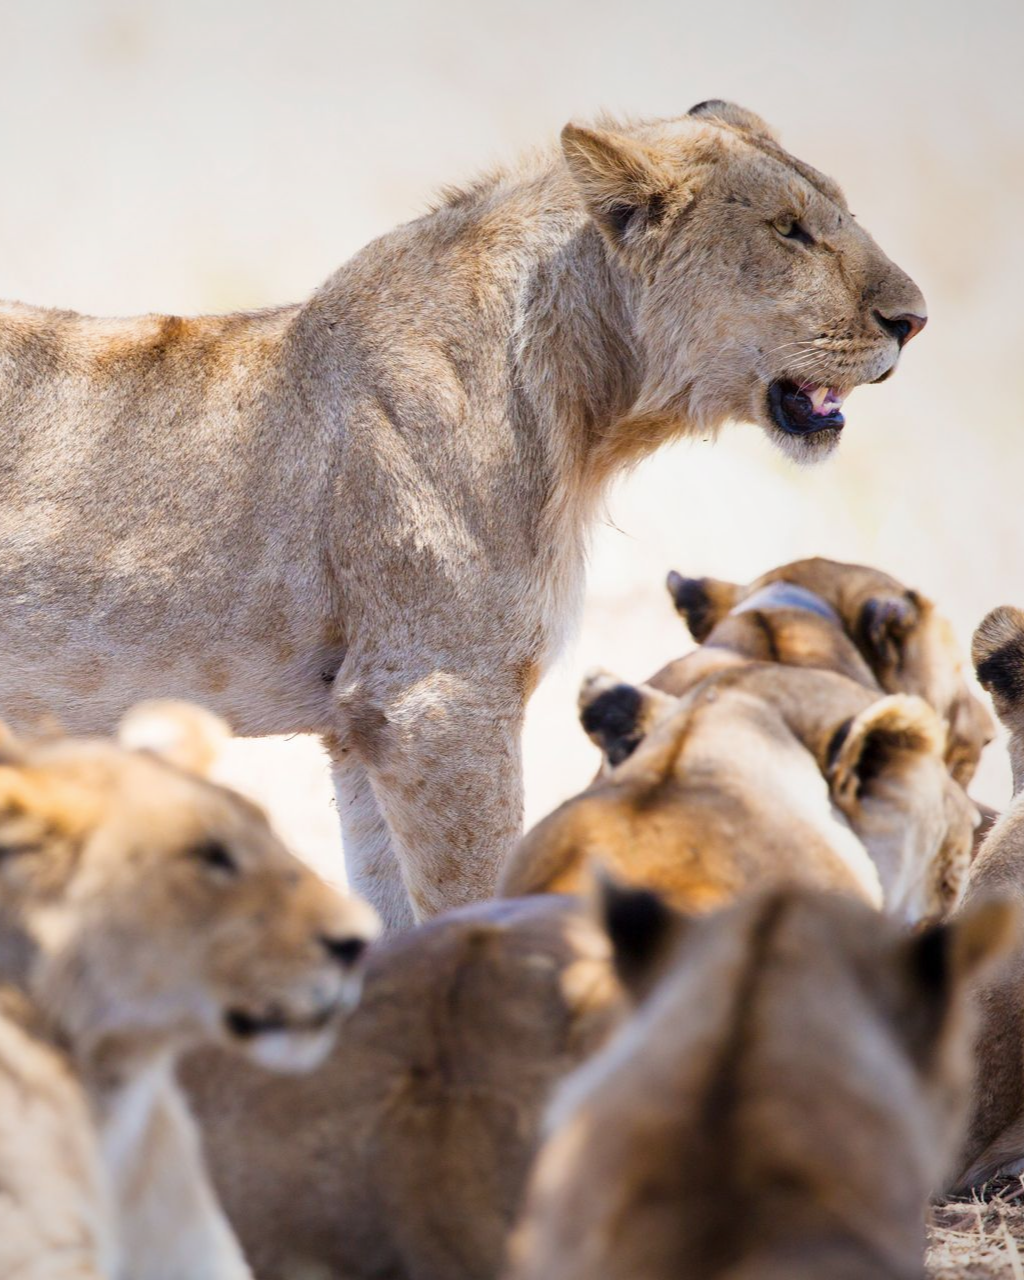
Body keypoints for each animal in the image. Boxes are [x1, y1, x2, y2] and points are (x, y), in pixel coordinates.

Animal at [0, 102, 925, 930]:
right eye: (789, 230)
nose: (913, 320)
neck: (584, 412)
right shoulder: (437, 698)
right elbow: (474, 897)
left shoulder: (362, 722)